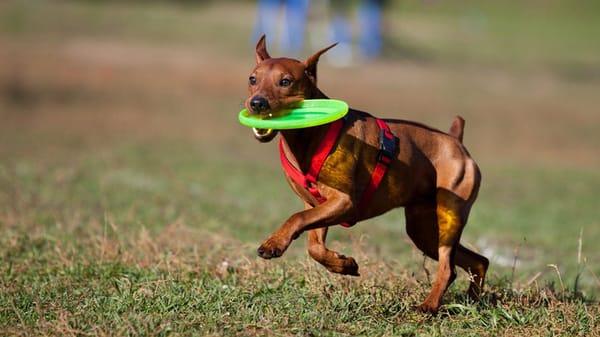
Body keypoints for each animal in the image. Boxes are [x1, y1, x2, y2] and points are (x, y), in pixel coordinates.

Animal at [244, 35, 488, 312]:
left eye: (285, 81)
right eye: (253, 79)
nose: (257, 103)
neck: (307, 136)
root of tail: (455, 140)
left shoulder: (344, 203)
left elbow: (296, 218)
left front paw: (273, 244)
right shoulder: (317, 204)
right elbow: (313, 246)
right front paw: (343, 264)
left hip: (449, 216)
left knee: (448, 267)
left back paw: (429, 306)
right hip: (423, 229)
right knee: (478, 261)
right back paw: (474, 301)